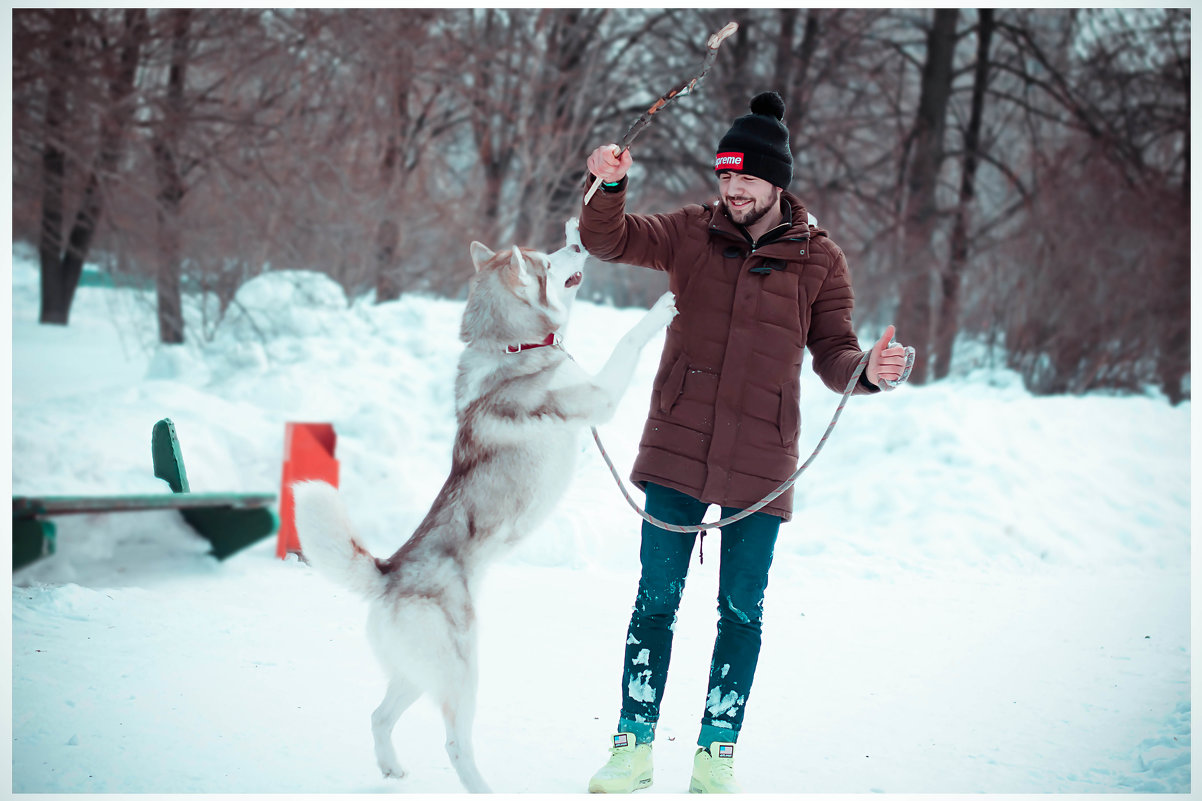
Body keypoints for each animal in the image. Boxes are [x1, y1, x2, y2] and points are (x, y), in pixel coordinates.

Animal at [293, 215, 677, 788]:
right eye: (545, 262)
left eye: (555, 249)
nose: (578, 236)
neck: (516, 348)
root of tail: (388, 572)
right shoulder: (600, 397)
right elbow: (628, 339)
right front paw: (660, 309)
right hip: (462, 673)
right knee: (455, 744)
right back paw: (481, 787)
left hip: (420, 674)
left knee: (379, 715)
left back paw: (392, 769)